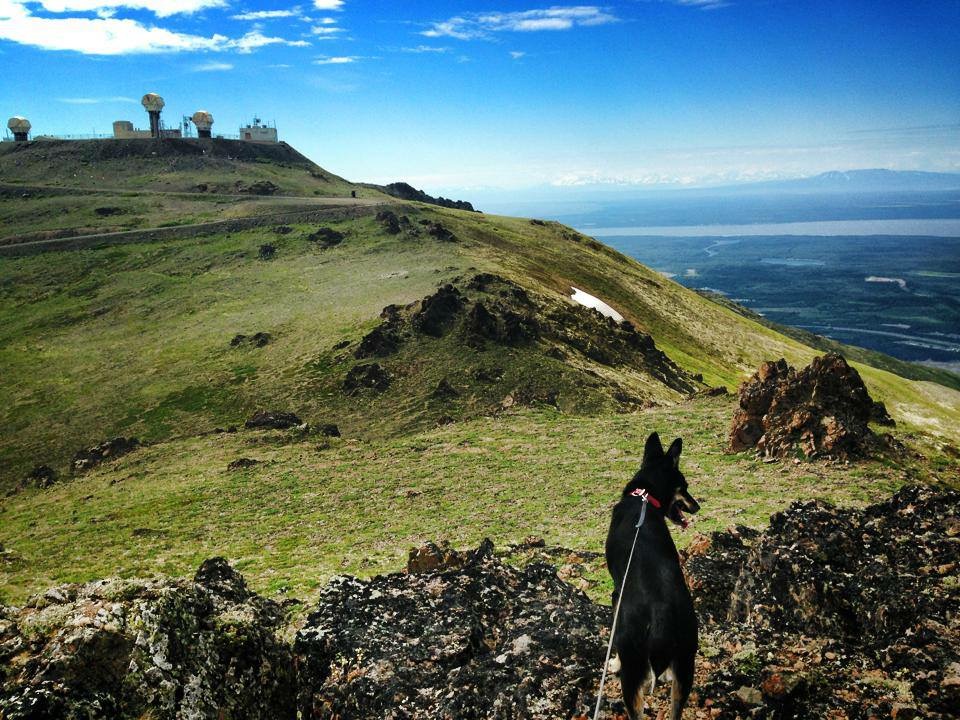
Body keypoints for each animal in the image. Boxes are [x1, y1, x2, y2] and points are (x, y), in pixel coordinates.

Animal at [604, 430, 700, 716]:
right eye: (684, 487)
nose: (697, 507)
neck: (643, 498)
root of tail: (661, 616)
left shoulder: (616, 593)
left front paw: (613, 662)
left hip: (632, 674)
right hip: (686, 665)